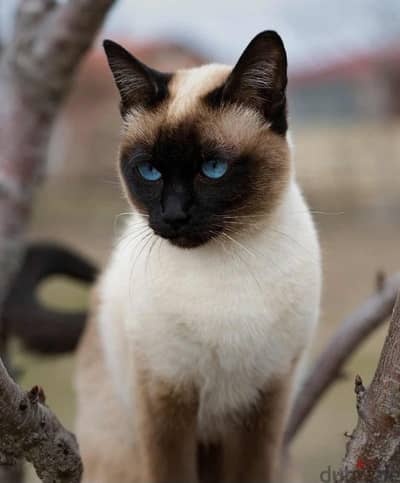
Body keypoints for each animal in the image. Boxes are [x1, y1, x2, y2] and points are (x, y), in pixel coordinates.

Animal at [76, 31, 322, 483]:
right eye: (150, 171)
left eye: (213, 168)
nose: (174, 216)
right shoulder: (166, 398)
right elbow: (171, 472)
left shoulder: (265, 403)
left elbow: (252, 474)